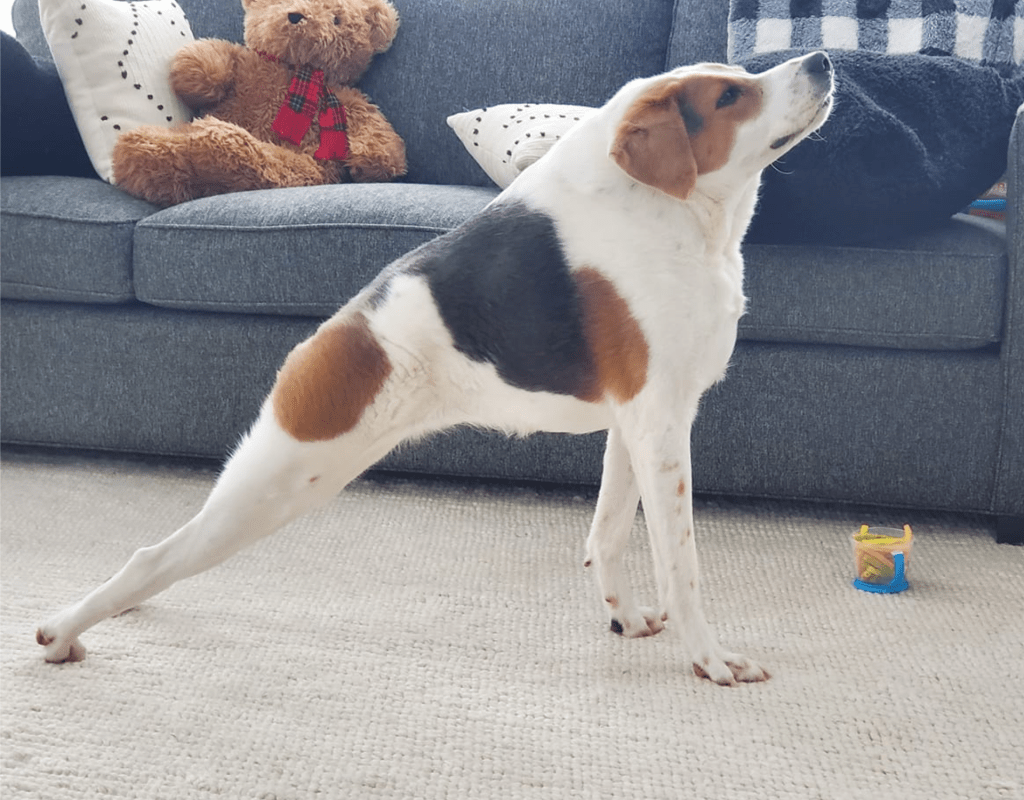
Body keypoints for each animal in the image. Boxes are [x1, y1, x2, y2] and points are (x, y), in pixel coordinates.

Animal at [36, 51, 831, 688]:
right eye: (728, 97)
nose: (823, 61)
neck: (679, 215)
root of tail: (336, 331)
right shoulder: (663, 426)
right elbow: (682, 565)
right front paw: (711, 661)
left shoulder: (638, 426)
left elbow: (607, 533)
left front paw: (624, 618)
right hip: (279, 480)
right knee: (152, 554)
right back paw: (64, 631)